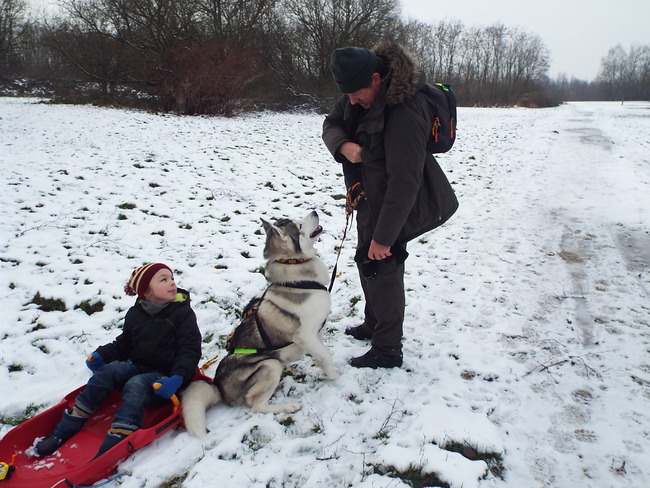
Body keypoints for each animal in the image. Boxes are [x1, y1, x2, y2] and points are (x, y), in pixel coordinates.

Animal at [180, 210, 336, 438]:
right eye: (299, 225)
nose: (315, 211)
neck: (295, 267)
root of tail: (218, 386)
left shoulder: (316, 334)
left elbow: (323, 356)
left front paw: (330, 372)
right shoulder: (305, 336)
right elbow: (325, 357)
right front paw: (337, 377)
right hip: (270, 365)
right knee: (257, 407)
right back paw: (288, 406)